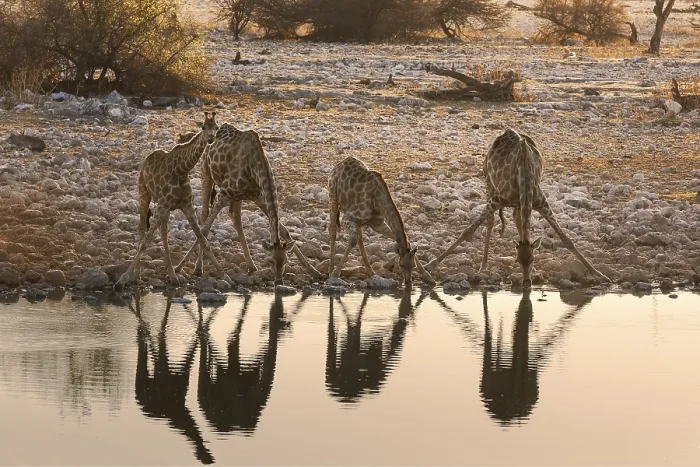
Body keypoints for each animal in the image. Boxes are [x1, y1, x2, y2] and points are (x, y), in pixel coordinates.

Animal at [115, 111, 232, 288]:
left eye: (216, 127)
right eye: (204, 127)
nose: (211, 138)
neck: (182, 170)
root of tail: (146, 159)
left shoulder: (187, 205)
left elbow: (203, 239)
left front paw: (225, 276)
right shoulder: (164, 203)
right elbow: (146, 241)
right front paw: (122, 279)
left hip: (163, 206)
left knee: (162, 231)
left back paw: (172, 275)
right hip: (145, 193)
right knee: (141, 227)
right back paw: (138, 274)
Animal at [174, 123, 323, 285]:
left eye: (286, 261)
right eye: (270, 261)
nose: (278, 281)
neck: (254, 167)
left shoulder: (258, 196)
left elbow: (284, 231)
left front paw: (314, 271)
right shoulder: (223, 194)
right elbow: (205, 230)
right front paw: (179, 268)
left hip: (238, 196)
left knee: (235, 217)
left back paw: (251, 266)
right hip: (206, 172)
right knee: (204, 215)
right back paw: (199, 267)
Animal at [328, 156, 435, 288]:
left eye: (413, 265)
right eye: (401, 265)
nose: (408, 283)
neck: (377, 200)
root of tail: (340, 164)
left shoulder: (377, 224)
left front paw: (428, 277)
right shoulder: (348, 217)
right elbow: (352, 241)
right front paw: (335, 273)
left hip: (358, 221)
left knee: (360, 238)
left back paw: (370, 272)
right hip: (333, 196)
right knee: (333, 230)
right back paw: (330, 269)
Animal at [425, 128, 610, 288]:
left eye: (533, 259)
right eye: (517, 261)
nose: (527, 282)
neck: (525, 177)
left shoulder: (541, 203)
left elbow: (567, 240)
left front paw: (599, 274)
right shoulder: (498, 199)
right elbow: (468, 231)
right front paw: (431, 265)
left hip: (516, 202)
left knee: (516, 219)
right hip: (488, 182)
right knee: (491, 221)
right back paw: (483, 265)